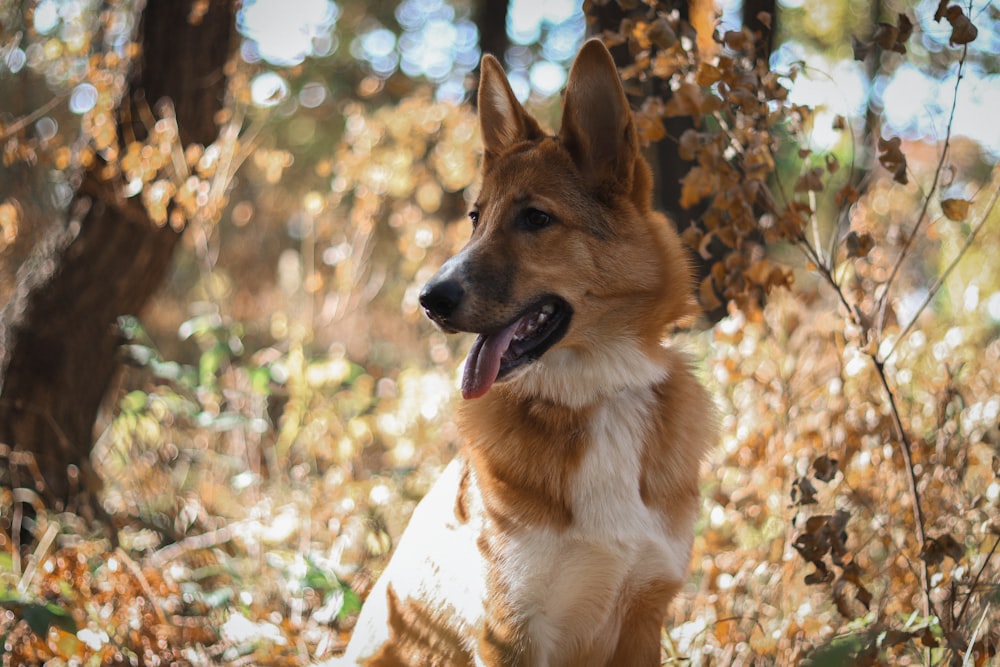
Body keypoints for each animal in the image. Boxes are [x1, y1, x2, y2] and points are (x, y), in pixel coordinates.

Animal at [340, 39, 716, 664]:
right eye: (476, 217)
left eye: (536, 218)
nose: (428, 300)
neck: (594, 396)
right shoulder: (510, 630)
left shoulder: (644, 614)